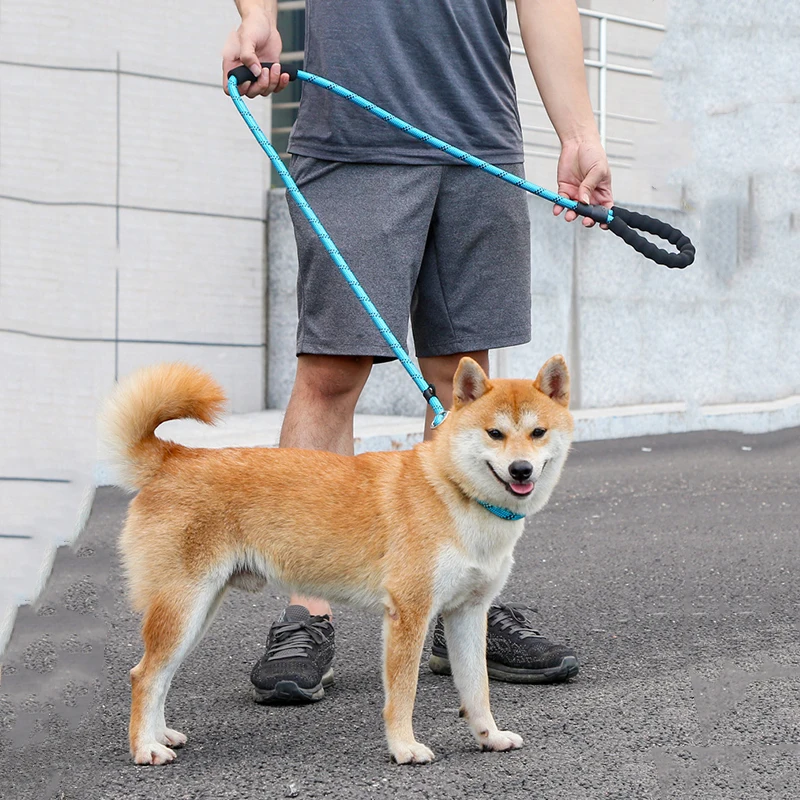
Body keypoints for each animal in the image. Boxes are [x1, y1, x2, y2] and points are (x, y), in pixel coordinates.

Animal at [100, 358, 572, 768]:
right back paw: (145, 748)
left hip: (197, 614)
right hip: (184, 609)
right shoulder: (409, 615)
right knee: (144, 676)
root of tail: (173, 457)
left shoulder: (467, 614)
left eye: (538, 432)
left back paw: (160, 735)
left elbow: (478, 690)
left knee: (159, 675)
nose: (521, 469)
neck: (453, 491)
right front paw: (404, 747)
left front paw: (489, 736)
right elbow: (403, 694)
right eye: (494, 433)